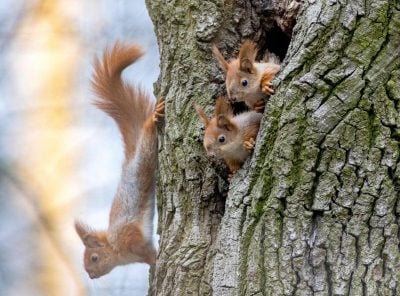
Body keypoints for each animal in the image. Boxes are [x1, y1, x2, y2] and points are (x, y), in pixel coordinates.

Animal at [75, 42, 164, 280]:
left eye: (94, 258)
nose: (91, 276)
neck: (117, 250)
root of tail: (131, 159)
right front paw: (154, 265)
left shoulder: (130, 238)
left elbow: (146, 250)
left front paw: (157, 263)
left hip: (145, 155)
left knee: (148, 135)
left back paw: (153, 118)